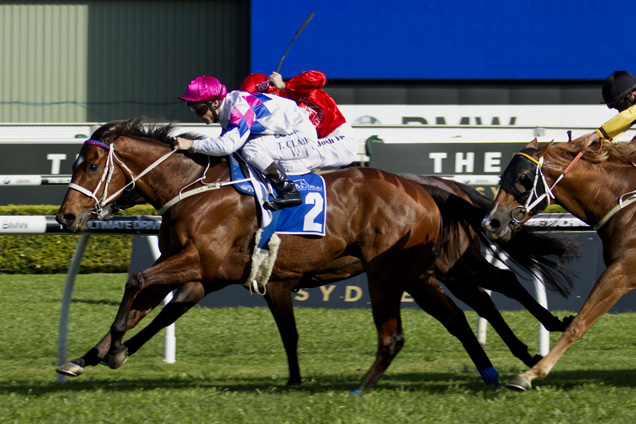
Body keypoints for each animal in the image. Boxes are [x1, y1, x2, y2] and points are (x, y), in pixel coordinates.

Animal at [56, 119, 576, 390]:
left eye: (92, 164)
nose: (65, 217)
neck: (197, 188)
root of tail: (422, 186)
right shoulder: (209, 276)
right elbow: (153, 310)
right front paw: (89, 356)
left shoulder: (200, 262)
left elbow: (137, 284)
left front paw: (112, 350)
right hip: (427, 270)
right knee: (468, 308)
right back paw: (500, 364)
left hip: (406, 269)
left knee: (487, 291)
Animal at [482, 138, 636, 390]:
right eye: (502, 176)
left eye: (522, 178)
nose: (491, 223)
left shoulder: (622, 271)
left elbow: (579, 323)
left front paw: (529, 374)